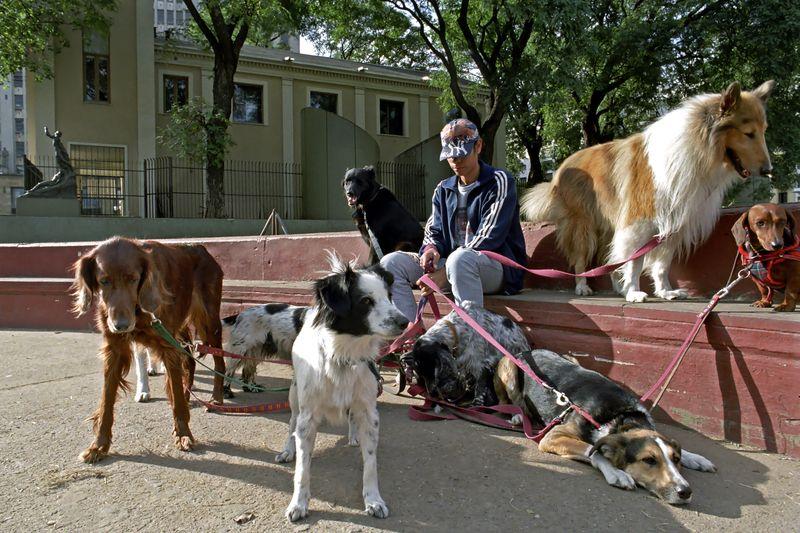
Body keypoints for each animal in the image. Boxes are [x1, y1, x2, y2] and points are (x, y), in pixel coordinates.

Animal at [71, 237, 225, 462]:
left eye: (134, 279)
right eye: (104, 280)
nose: (121, 326)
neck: (137, 309)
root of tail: (201, 247)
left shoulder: (168, 347)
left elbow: (177, 401)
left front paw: (183, 435)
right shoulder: (114, 349)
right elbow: (107, 401)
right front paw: (99, 445)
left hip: (208, 320)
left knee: (219, 361)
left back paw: (216, 398)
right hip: (180, 329)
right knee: (189, 360)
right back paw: (188, 394)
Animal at [278, 252, 410, 520]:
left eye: (389, 296)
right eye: (366, 301)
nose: (406, 322)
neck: (343, 355)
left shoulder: (369, 412)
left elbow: (370, 464)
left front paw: (373, 500)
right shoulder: (307, 417)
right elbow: (302, 470)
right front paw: (298, 503)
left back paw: (353, 435)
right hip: (295, 397)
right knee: (291, 424)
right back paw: (288, 449)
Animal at [494, 350, 720, 502]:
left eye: (676, 459)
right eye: (649, 460)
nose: (685, 491)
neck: (622, 415)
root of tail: (527, 350)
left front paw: (695, 458)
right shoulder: (553, 437)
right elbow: (594, 450)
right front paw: (616, 472)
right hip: (509, 369)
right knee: (508, 401)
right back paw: (517, 416)